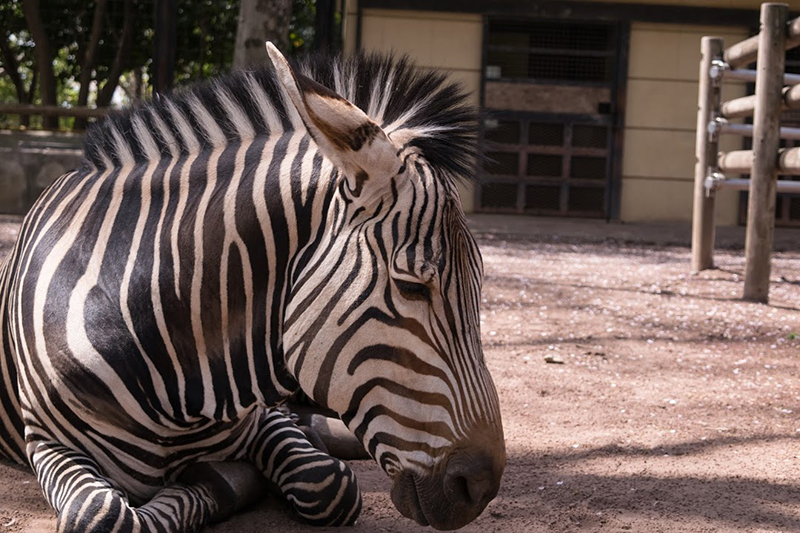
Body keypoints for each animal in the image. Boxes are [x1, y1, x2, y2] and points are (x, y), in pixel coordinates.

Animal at [0, 43, 504, 528]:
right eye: (411, 287)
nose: (480, 488)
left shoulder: (264, 419)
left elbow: (328, 483)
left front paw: (226, 482)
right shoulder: (46, 443)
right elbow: (100, 514)